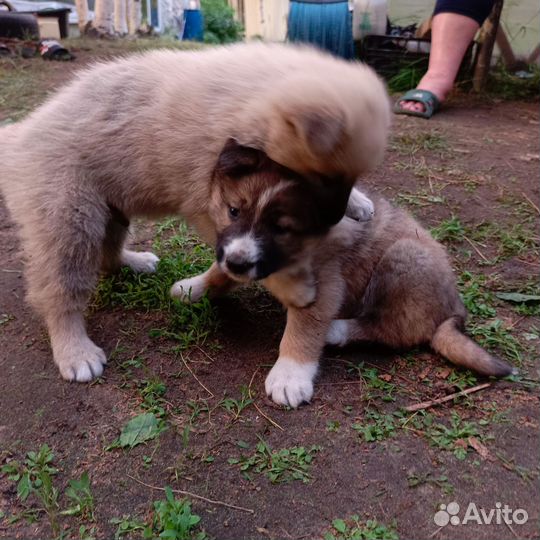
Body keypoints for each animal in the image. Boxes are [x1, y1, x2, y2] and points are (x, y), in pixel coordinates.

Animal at [0, 42, 392, 382]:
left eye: (351, 177)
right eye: (322, 178)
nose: (334, 217)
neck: (247, 103)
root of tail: (20, 136)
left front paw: (358, 202)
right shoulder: (211, 203)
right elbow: (244, 255)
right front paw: (295, 287)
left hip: (108, 207)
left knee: (108, 254)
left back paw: (133, 261)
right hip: (69, 218)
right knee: (60, 291)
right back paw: (75, 351)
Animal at [172, 141, 516, 408]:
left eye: (280, 228)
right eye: (233, 211)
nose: (239, 264)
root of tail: (454, 310)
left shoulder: (324, 286)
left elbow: (303, 331)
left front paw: (290, 376)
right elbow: (218, 271)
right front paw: (194, 287)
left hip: (404, 257)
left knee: (394, 330)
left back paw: (336, 331)